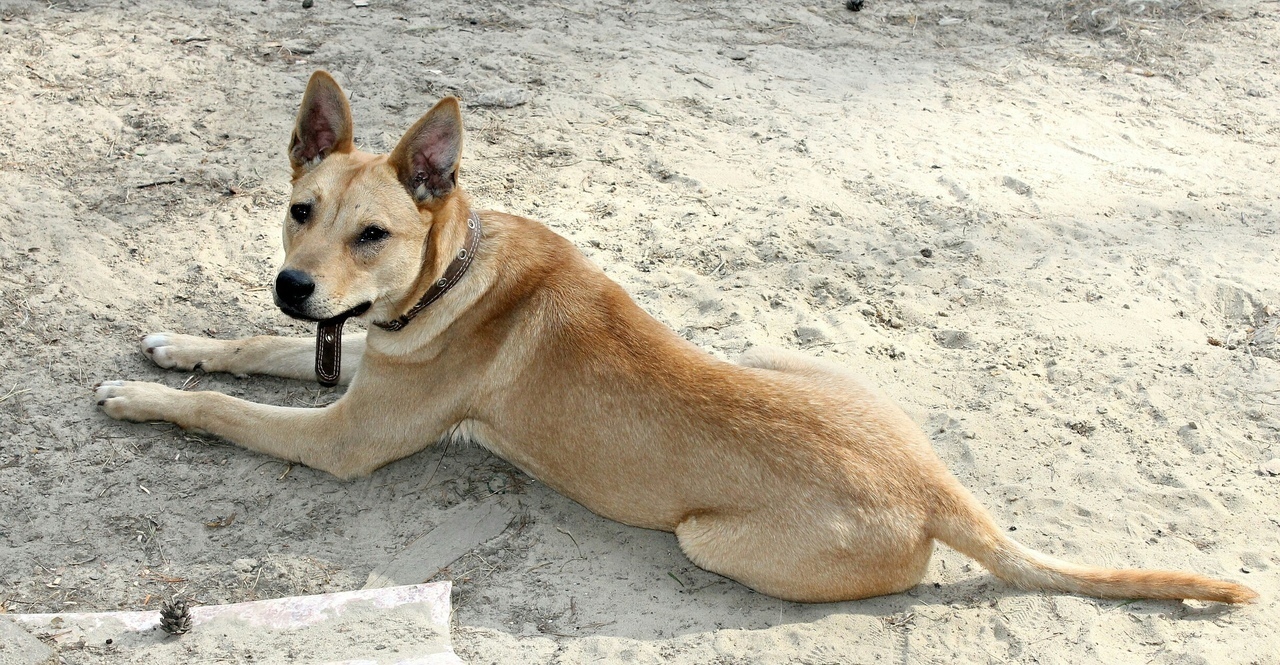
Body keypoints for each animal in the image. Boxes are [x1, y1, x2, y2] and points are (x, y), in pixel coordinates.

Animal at [94, 70, 1254, 606]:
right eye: (299, 209)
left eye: (371, 233)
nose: (294, 285)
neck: (451, 275)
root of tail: (939, 490)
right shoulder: (360, 355)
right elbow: (246, 353)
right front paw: (176, 340)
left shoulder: (343, 437)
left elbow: (227, 406)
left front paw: (143, 397)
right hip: (786, 357)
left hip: (711, 537)